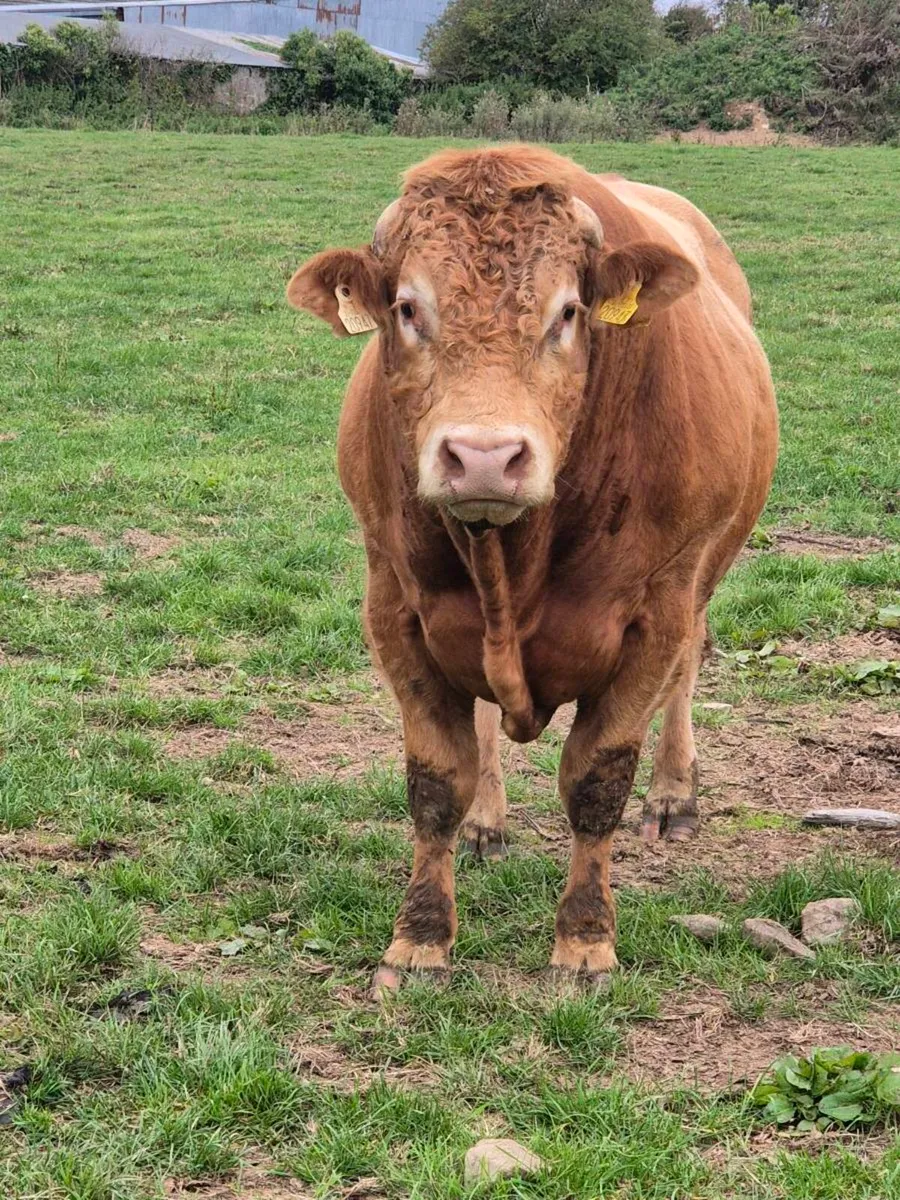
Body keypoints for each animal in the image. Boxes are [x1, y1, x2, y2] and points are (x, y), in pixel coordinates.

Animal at [287, 145, 778, 990]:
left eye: (569, 312)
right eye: (408, 308)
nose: (484, 456)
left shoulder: (656, 613)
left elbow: (596, 783)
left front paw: (585, 941)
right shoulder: (393, 607)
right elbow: (435, 783)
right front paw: (420, 937)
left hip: (706, 574)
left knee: (689, 668)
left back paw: (673, 797)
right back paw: (489, 819)